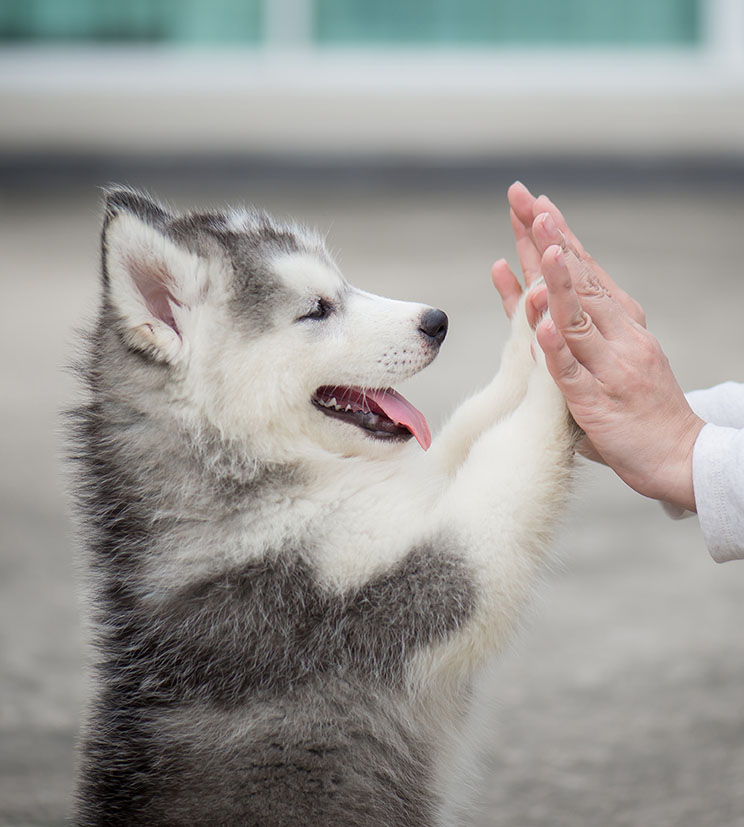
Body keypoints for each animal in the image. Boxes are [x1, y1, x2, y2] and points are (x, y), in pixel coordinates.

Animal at [72, 189, 580, 827]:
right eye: (317, 309)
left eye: (343, 285)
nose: (437, 322)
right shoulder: (385, 589)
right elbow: (507, 459)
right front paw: (563, 355)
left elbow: (469, 427)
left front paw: (534, 317)